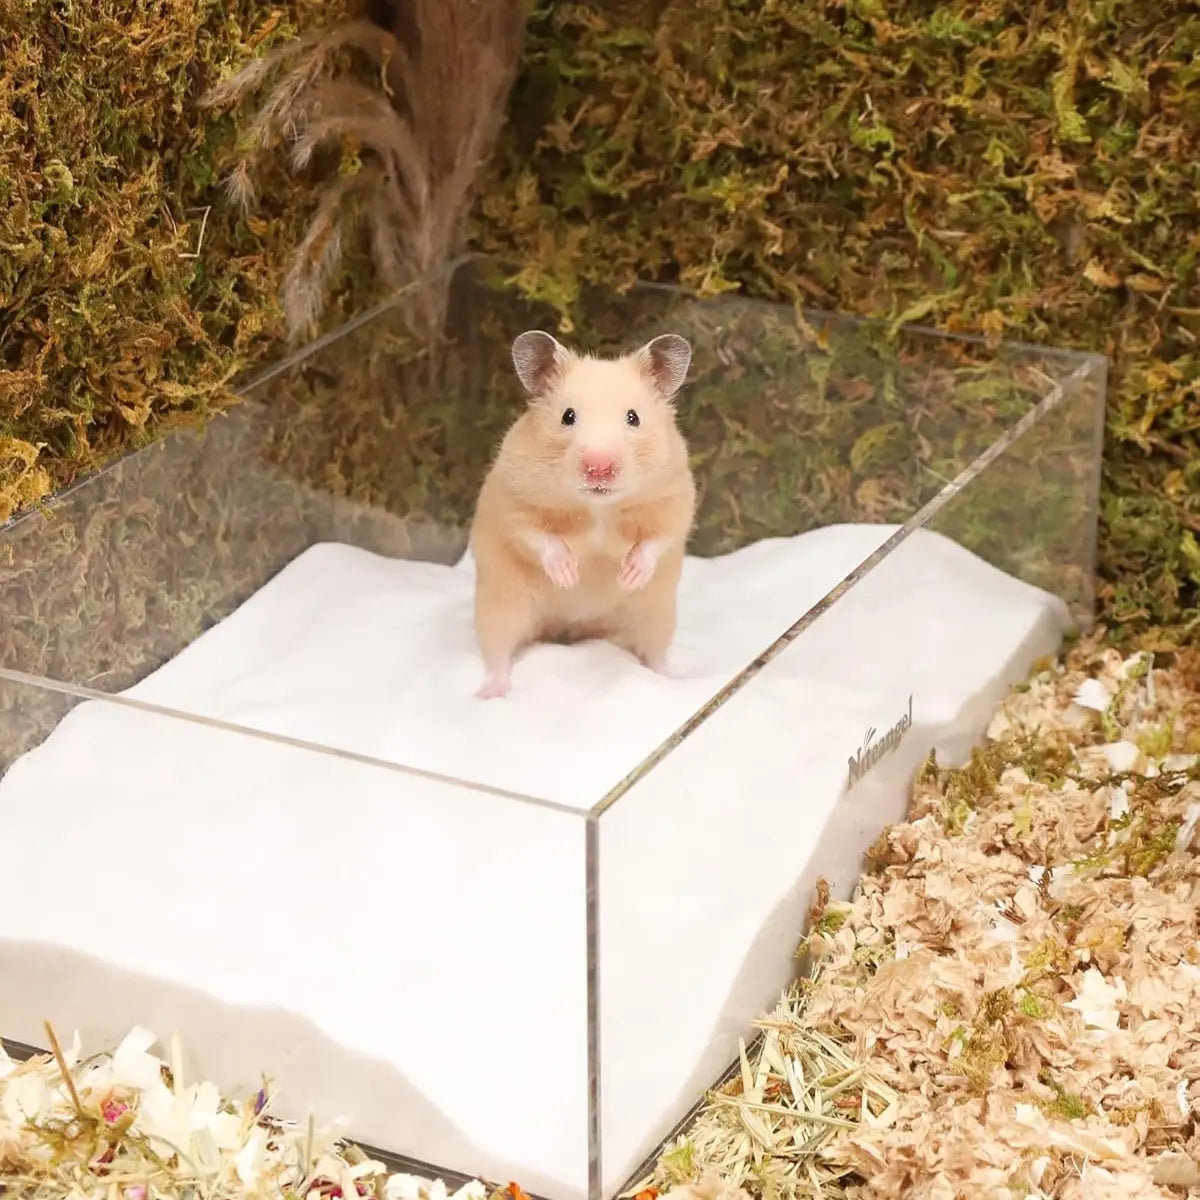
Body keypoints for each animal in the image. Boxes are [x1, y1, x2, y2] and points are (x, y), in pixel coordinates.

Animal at [468, 329, 698, 699]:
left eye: (633, 417)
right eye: (568, 416)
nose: (598, 467)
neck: (598, 507)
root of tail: (571, 627)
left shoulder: (676, 498)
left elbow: (658, 539)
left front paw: (629, 575)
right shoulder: (513, 500)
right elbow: (535, 535)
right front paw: (569, 575)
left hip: (657, 614)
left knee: (655, 652)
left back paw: (668, 679)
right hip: (500, 605)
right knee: (497, 653)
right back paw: (490, 693)